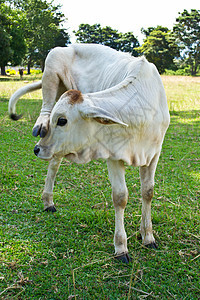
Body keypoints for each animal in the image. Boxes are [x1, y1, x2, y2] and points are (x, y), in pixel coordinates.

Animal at [33, 56, 170, 262]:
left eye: (62, 120)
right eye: (55, 120)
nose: (37, 149)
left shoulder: (154, 153)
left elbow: (148, 192)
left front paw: (147, 236)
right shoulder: (113, 155)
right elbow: (120, 197)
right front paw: (121, 247)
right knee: (54, 164)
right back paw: (48, 201)